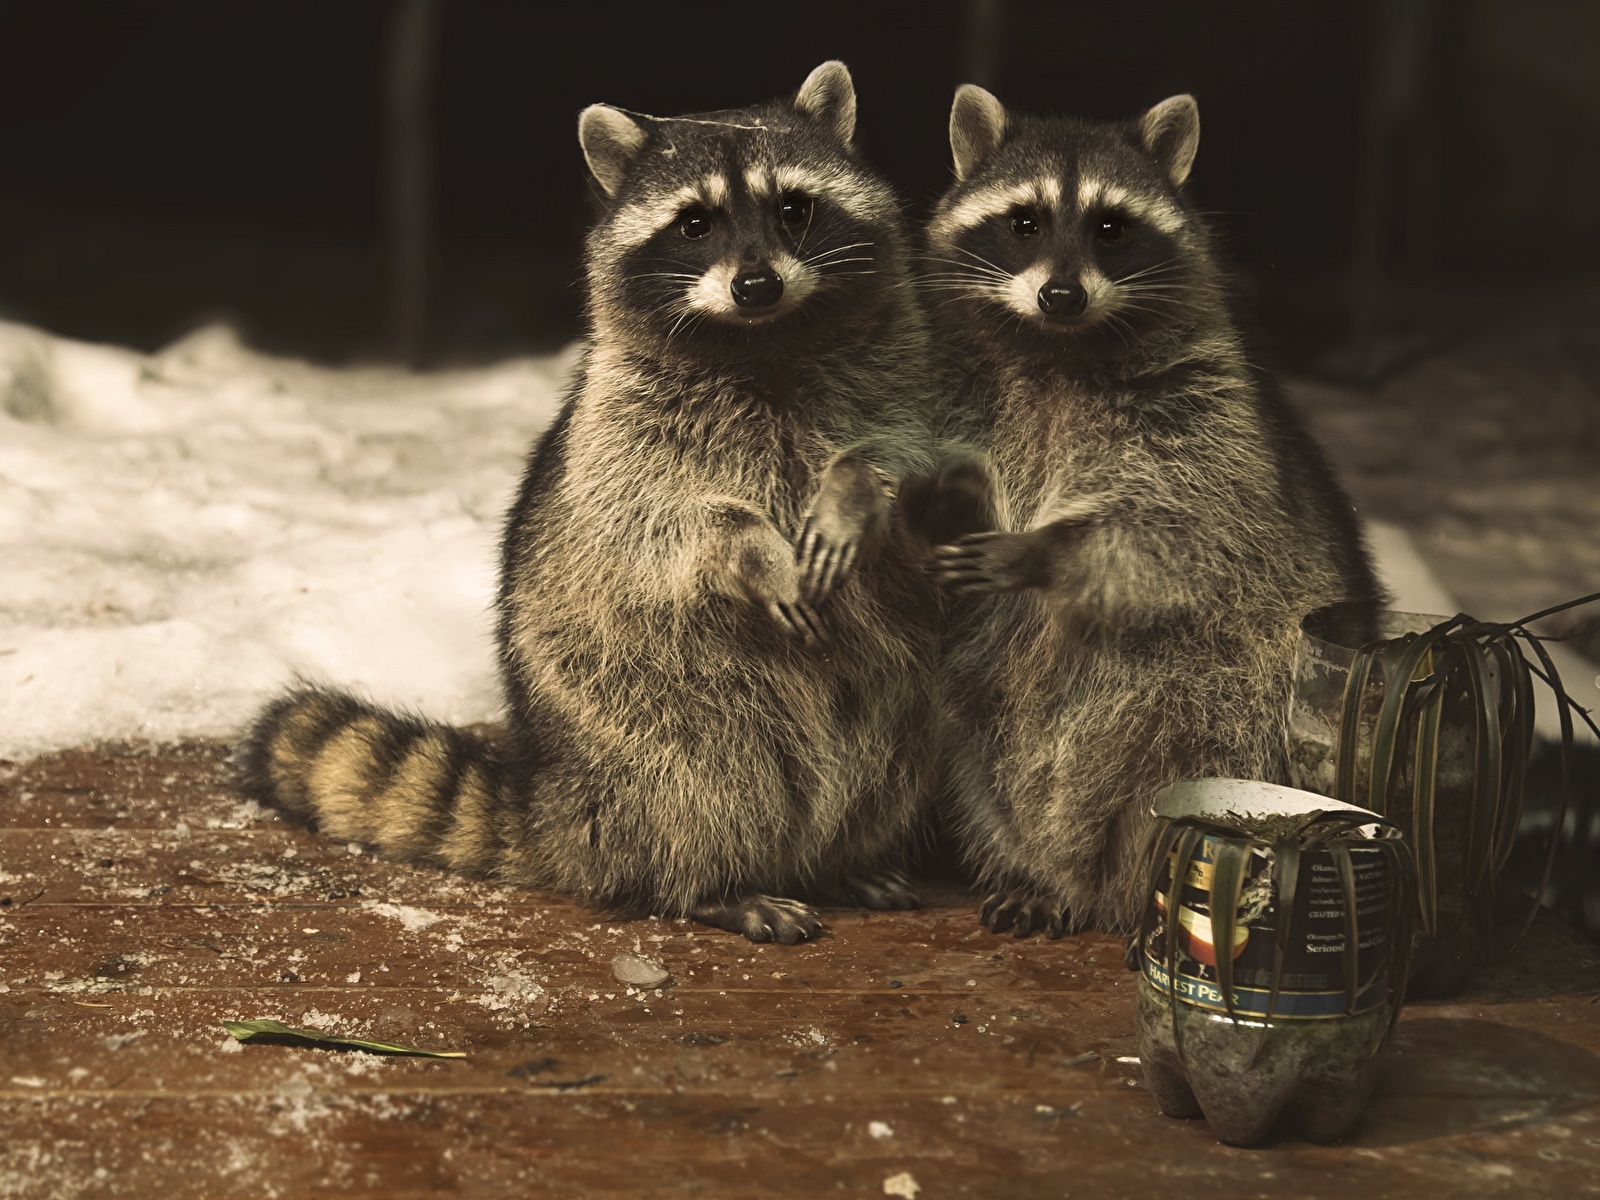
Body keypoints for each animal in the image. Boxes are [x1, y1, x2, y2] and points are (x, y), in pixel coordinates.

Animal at [241, 62, 945, 943]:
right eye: (694, 223)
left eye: (795, 208)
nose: (756, 285)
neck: (762, 340)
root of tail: (560, 802)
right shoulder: (619, 433)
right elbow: (665, 523)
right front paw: (753, 548)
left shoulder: (907, 379)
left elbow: (917, 463)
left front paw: (857, 493)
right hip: (639, 715)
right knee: (700, 781)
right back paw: (710, 884)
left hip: (899, 705)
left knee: (888, 758)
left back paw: (842, 860)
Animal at [918, 87, 1382, 935]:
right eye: (1024, 222)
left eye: (1111, 227)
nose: (1061, 294)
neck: (1057, 347)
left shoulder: (1206, 407)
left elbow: (1177, 528)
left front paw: (1046, 551)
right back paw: (1032, 868)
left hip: (1237, 695)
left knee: (1196, 738)